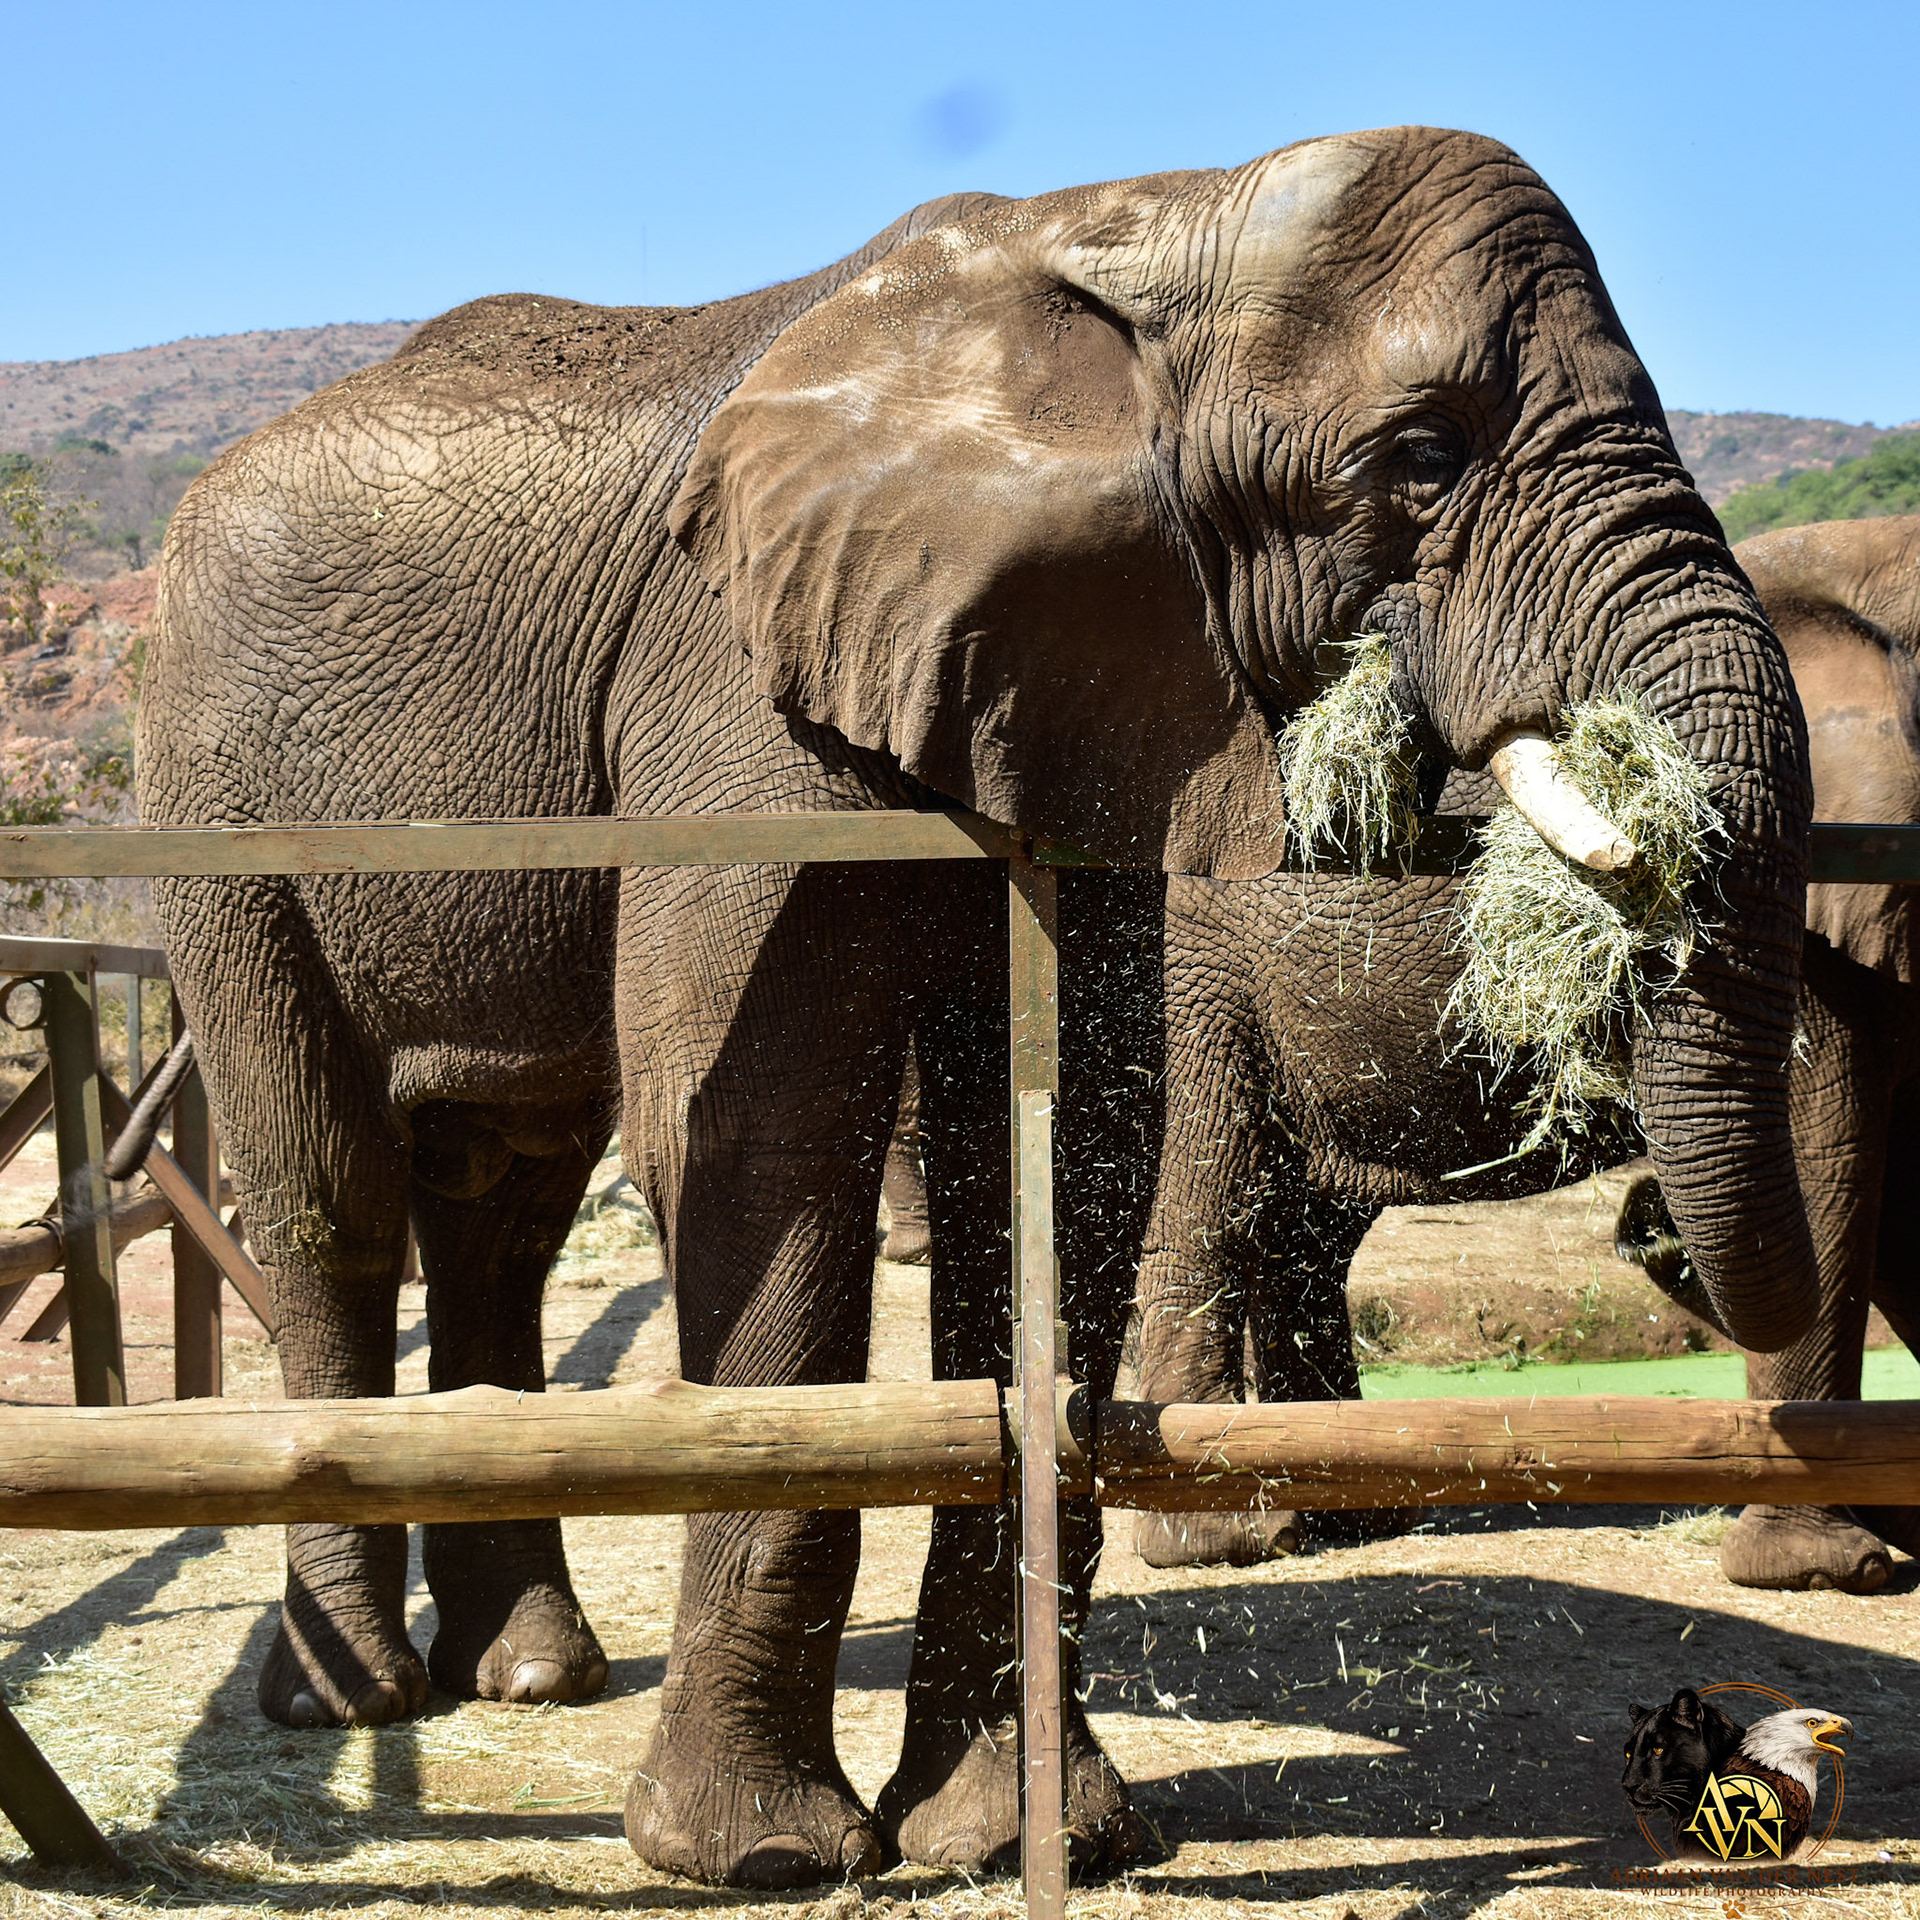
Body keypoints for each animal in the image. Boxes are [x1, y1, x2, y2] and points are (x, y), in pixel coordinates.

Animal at [139, 125, 1819, 1888]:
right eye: (1422, 457)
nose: (1652, 1232)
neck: (1144, 229)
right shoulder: (732, 685)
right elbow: (758, 1143)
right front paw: (760, 1860)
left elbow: (1066, 1156)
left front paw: (1025, 1836)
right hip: (210, 805)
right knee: (327, 1187)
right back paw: (353, 1701)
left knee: (504, 1195)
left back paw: (532, 1676)